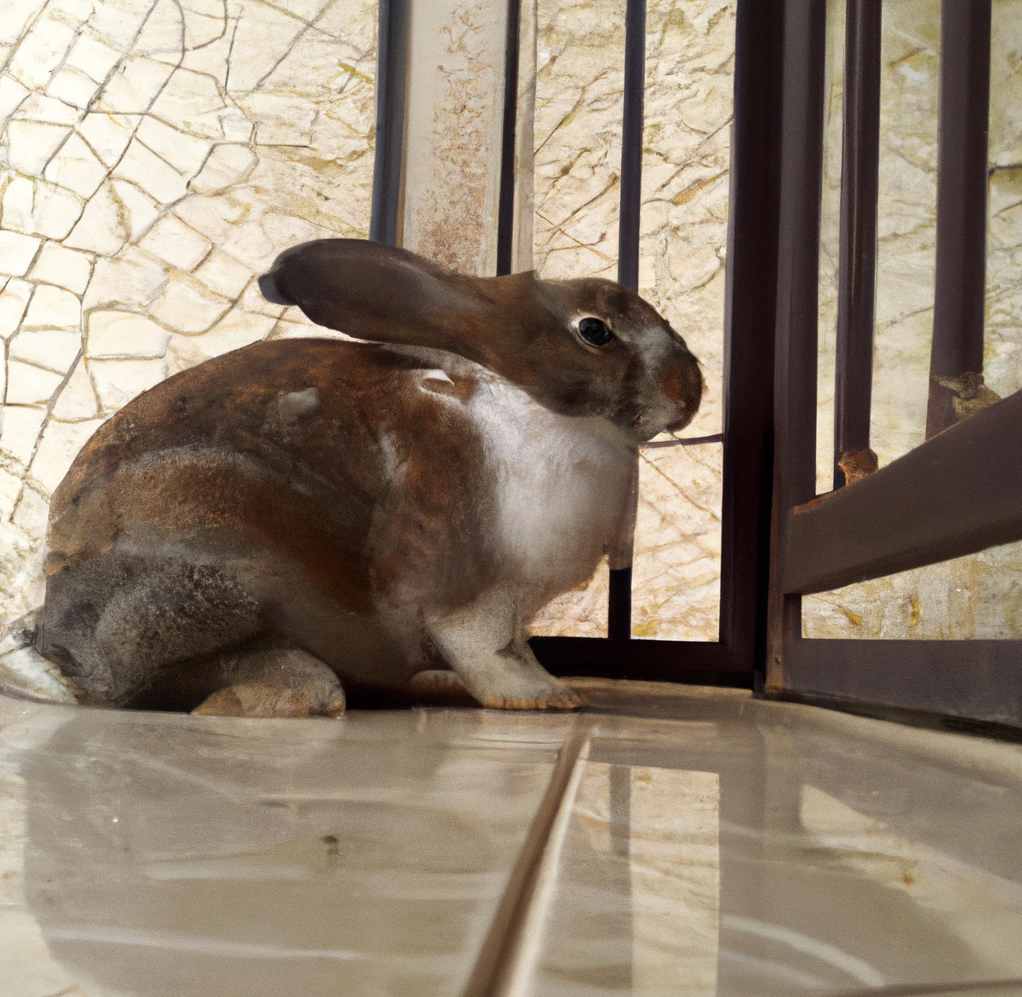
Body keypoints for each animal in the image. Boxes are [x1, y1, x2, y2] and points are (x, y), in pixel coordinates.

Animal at [0, 241, 703, 715]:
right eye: (595, 331)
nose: (690, 391)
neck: (538, 411)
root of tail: (58, 620)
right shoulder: (471, 600)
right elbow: (495, 653)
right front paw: (547, 698)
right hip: (219, 558)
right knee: (149, 681)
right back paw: (284, 691)